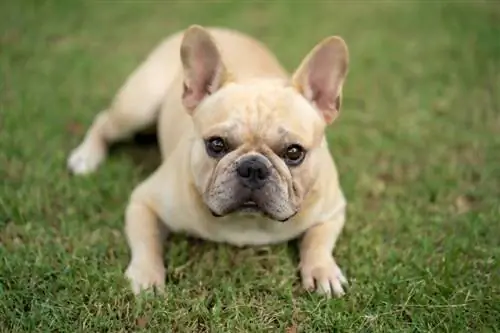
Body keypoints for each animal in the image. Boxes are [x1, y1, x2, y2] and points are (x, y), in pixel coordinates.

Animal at [68, 24, 352, 296]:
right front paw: (147, 275)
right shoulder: (143, 201)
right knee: (104, 121)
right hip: (137, 107)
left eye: (294, 152)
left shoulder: (333, 210)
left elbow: (318, 240)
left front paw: (322, 271)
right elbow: (147, 239)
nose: (253, 167)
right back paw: (86, 156)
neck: (248, 222)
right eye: (216, 144)